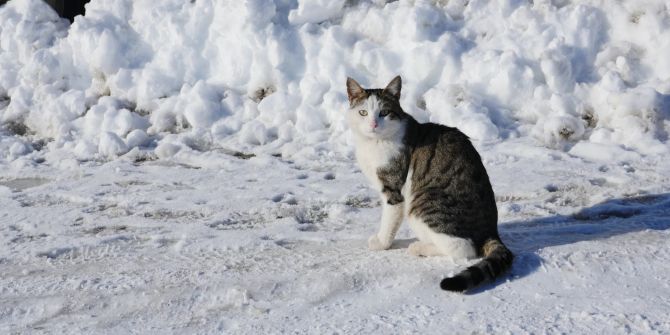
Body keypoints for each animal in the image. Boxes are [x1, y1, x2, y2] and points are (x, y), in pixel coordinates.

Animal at [346, 76, 516, 292]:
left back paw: (419, 247)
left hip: (423, 203)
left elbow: (388, 221)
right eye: (363, 112)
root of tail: (490, 231)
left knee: (464, 248)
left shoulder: (394, 190)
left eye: (384, 112)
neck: (374, 144)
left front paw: (381, 243)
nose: (373, 124)